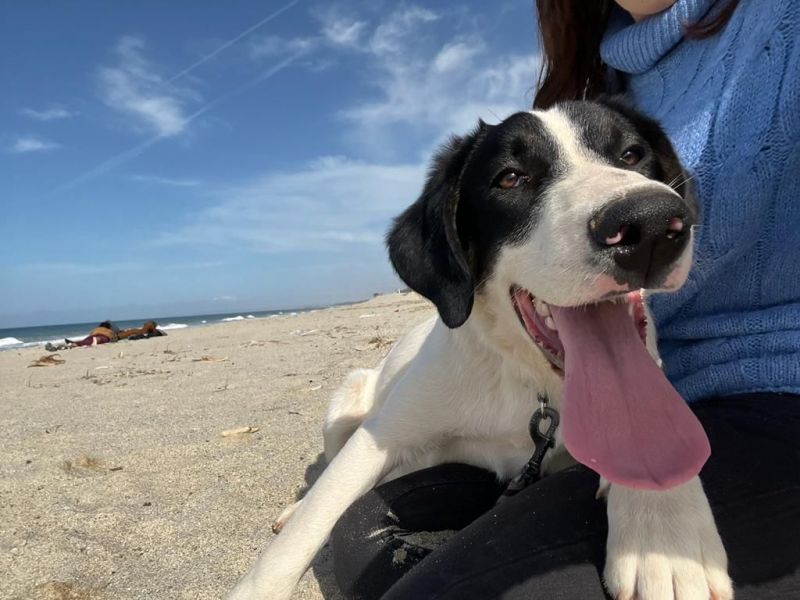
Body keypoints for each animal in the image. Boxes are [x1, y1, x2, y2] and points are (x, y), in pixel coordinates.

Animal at [228, 99, 736, 600]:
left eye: (632, 155)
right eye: (510, 178)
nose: (650, 224)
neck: (530, 383)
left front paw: (666, 535)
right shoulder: (379, 436)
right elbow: (308, 527)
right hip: (346, 404)